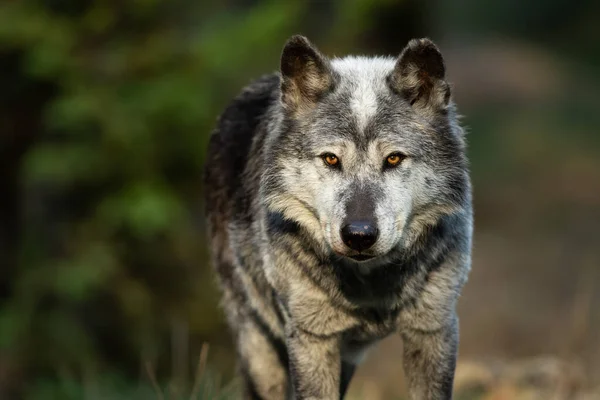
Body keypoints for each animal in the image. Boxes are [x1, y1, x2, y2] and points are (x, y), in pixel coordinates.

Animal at [204, 35, 472, 400]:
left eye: (393, 158)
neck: (370, 286)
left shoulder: (434, 330)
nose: (359, 235)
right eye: (331, 159)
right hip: (259, 346)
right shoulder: (312, 340)